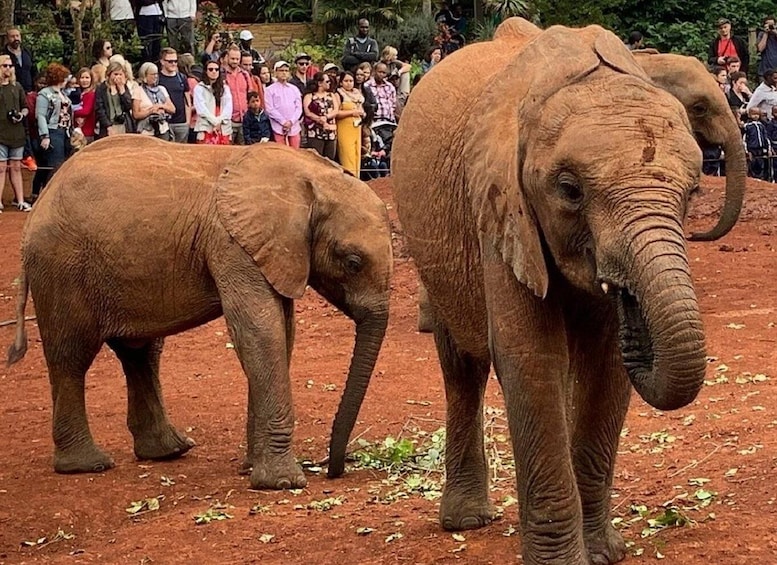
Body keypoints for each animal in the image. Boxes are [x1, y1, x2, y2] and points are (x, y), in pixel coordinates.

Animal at [4, 137, 394, 490]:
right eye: (352, 262)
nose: (333, 469)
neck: (306, 178)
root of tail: (39, 204)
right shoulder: (232, 245)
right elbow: (258, 331)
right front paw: (283, 483)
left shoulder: (270, 251)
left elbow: (281, 332)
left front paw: (251, 468)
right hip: (61, 267)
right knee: (72, 358)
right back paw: (88, 465)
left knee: (141, 354)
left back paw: (168, 451)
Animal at [392, 17, 744, 564]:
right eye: (569, 190)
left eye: (691, 193)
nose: (629, 303)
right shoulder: (499, 207)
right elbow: (530, 357)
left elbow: (605, 366)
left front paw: (602, 553)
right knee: (463, 368)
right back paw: (466, 521)